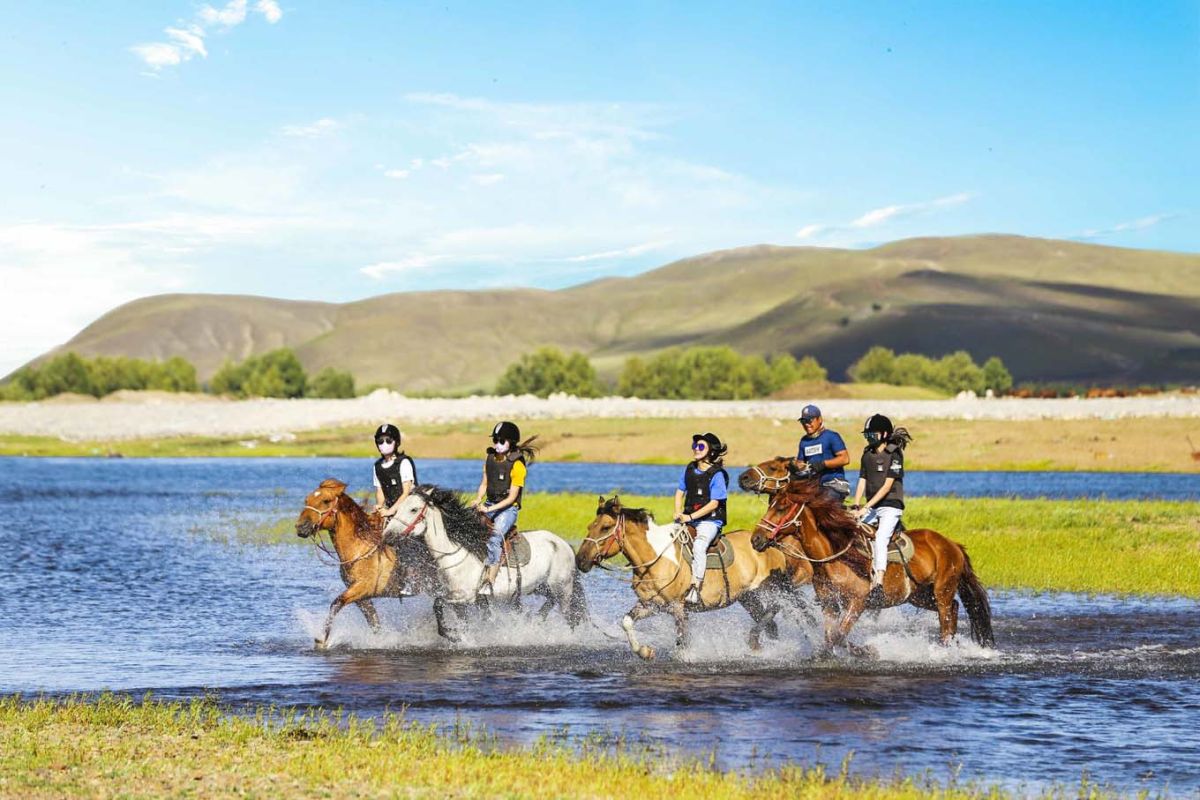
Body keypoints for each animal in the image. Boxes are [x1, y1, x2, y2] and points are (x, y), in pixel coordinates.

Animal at [294, 478, 436, 650]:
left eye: (326, 501)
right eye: (306, 500)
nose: (301, 527)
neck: (360, 546)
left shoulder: (362, 588)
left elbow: (335, 604)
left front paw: (322, 640)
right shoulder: (360, 596)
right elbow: (373, 622)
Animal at [384, 485, 587, 641]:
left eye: (413, 509)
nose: (387, 535)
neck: (455, 553)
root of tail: (563, 544)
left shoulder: (465, 596)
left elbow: (438, 604)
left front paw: (452, 635)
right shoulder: (459, 600)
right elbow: (456, 617)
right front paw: (459, 637)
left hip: (564, 590)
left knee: (571, 617)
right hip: (544, 588)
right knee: (550, 604)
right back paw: (536, 621)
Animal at [575, 495, 804, 660]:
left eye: (605, 527)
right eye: (589, 526)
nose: (580, 560)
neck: (655, 560)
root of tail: (773, 545)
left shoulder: (678, 608)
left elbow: (683, 643)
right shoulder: (651, 605)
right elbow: (626, 622)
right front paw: (645, 652)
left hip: (775, 587)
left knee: (777, 608)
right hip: (747, 597)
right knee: (771, 624)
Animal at [750, 476, 995, 655]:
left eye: (782, 507)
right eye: (770, 505)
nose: (756, 539)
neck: (834, 558)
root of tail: (952, 545)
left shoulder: (857, 603)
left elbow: (838, 636)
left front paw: (868, 652)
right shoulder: (829, 604)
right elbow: (831, 638)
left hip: (942, 590)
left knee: (946, 616)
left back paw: (943, 651)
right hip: (920, 595)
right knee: (953, 609)